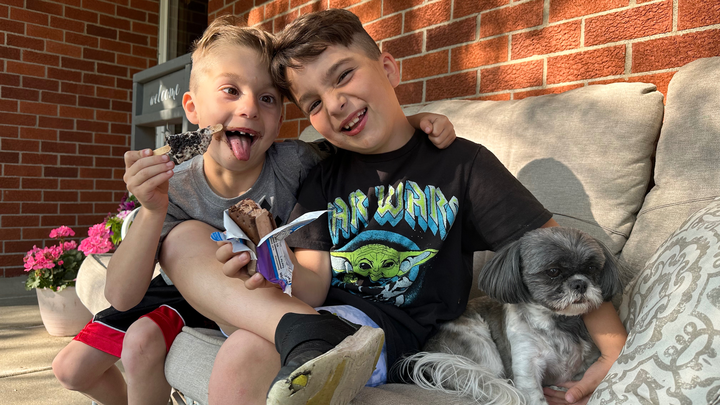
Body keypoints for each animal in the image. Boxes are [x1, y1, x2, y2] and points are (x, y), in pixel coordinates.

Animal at [399, 227, 623, 405]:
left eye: (592, 268)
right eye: (553, 271)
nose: (580, 283)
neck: (557, 322)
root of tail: (430, 350)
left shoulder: (587, 363)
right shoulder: (527, 363)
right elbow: (534, 394)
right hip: (482, 348)